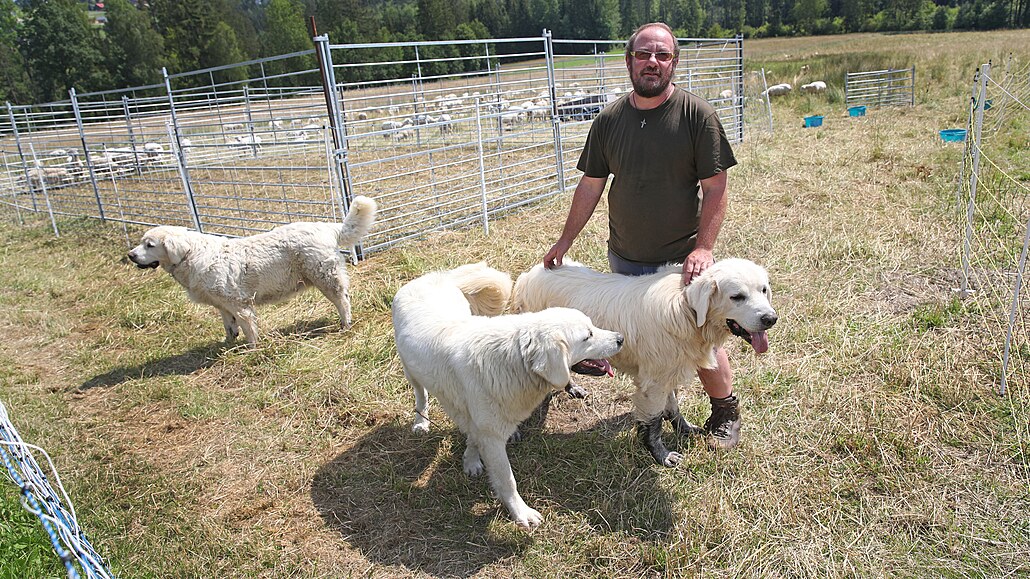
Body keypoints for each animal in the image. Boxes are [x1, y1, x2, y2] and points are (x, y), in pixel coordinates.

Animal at [127, 193, 379, 342]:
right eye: (141, 242)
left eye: (149, 245)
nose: (130, 255)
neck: (191, 255)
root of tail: (328, 227)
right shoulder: (223, 306)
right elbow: (229, 328)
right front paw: (228, 347)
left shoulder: (238, 303)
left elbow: (248, 328)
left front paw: (252, 348)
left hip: (325, 276)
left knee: (342, 300)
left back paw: (345, 324)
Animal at [391, 261, 618, 527]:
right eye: (587, 336)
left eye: (593, 326)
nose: (621, 338)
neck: (514, 361)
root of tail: (430, 278)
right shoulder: (493, 437)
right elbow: (508, 480)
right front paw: (521, 513)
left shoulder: (481, 421)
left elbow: (472, 437)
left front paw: (471, 461)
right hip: (410, 372)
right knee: (421, 395)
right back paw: (421, 422)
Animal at [510, 256, 774, 463]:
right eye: (737, 297)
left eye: (763, 290)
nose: (771, 318)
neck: (684, 310)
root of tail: (530, 274)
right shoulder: (653, 384)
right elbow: (654, 422)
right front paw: (661, 455)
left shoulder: (667, 373)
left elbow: (673, 408)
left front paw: (685, 430)